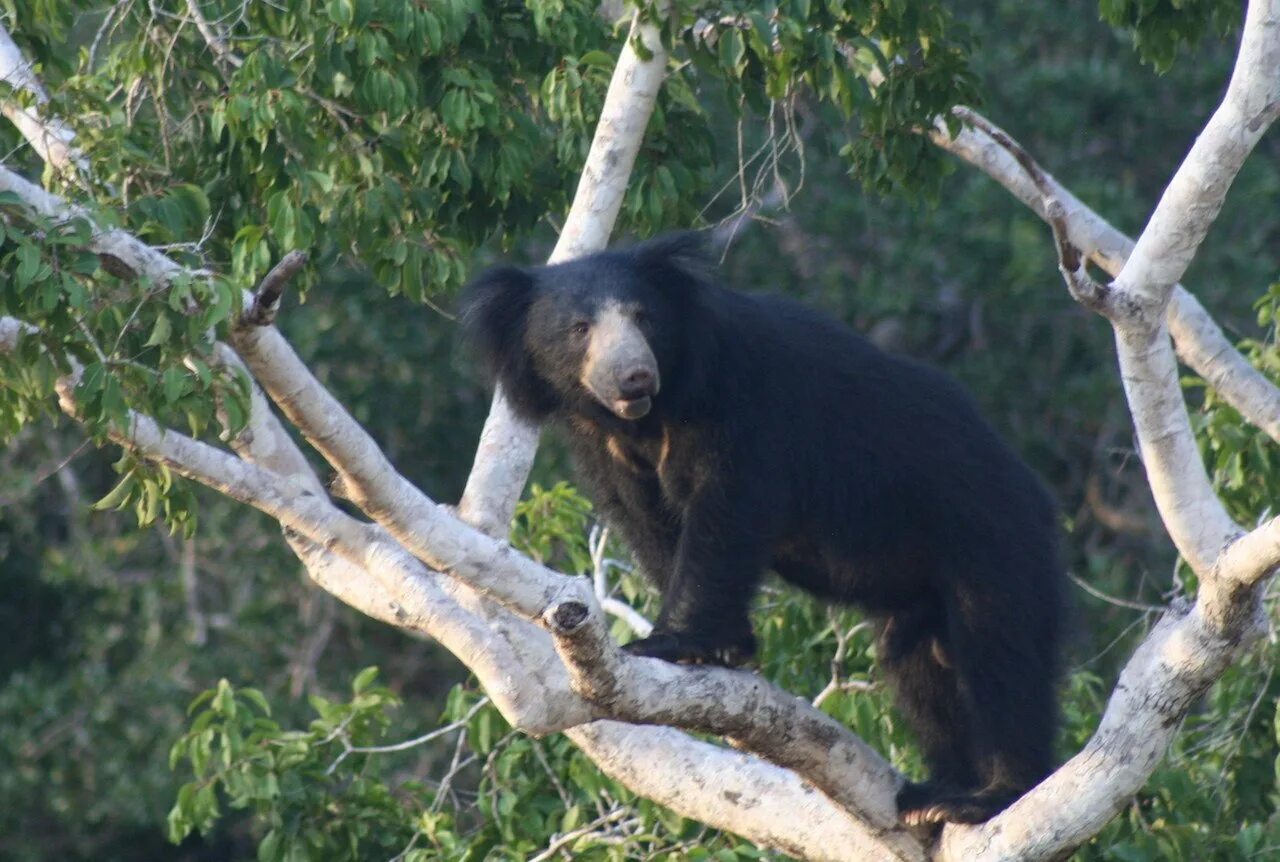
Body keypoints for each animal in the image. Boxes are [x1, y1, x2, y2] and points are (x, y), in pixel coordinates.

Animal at [465, 231, 1064, 824]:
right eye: (579, 329)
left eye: (643, 317)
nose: (634, 376)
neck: (654, 415)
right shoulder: (607, 448)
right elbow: (651, 524)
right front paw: (725, 647)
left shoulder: (741, 402)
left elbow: (724, 515)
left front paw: (672, 643)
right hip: (924, 589)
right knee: (922, 666)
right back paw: (933, 795)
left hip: (994, 539)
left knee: (999, 651)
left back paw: (986, 795)